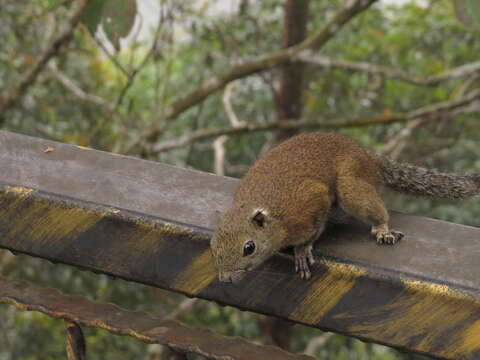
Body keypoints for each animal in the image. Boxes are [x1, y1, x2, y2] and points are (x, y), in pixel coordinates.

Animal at [211, 131, 480, 282]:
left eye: (249, 248)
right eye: (213, 246)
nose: (225, 279)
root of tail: (370, 158)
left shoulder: (311, 202)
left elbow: (313, 229)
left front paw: (301, 251)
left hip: (350, 185)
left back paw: (383, 229)